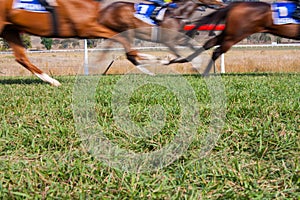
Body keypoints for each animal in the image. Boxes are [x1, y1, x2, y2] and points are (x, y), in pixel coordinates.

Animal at [170, 1, 300, 74]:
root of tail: (234, 5)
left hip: (230, 32)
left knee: (209, 44)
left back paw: (179, 60)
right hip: (235, 34)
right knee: (216, 51)